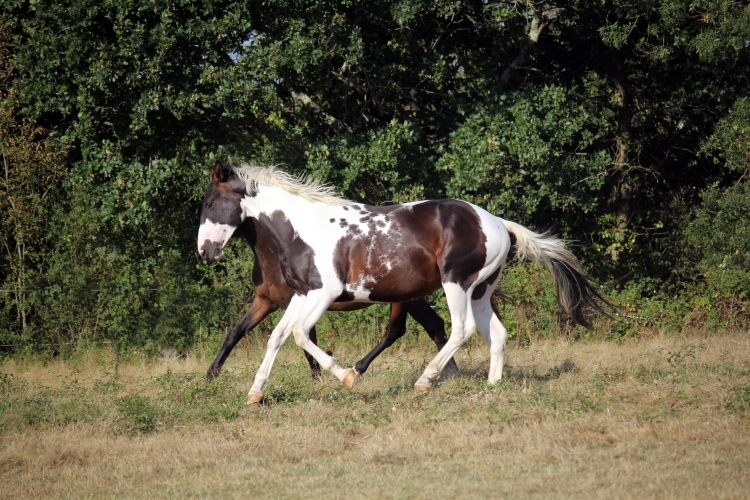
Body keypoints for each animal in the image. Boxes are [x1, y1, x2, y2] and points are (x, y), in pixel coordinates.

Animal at [200, 162, 612, 404]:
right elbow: (277, 337)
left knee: (458, 330)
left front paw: (346, 376)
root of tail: (497, 222)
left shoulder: (324, 293)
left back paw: (424, 381)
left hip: (455, 284)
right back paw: (491, 387)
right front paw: (255, 393)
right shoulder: (300, 295)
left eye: (209, 202)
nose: (205, 251)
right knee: (495, 333)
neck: (304, 228)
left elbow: (301, 336)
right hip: (480, 292)